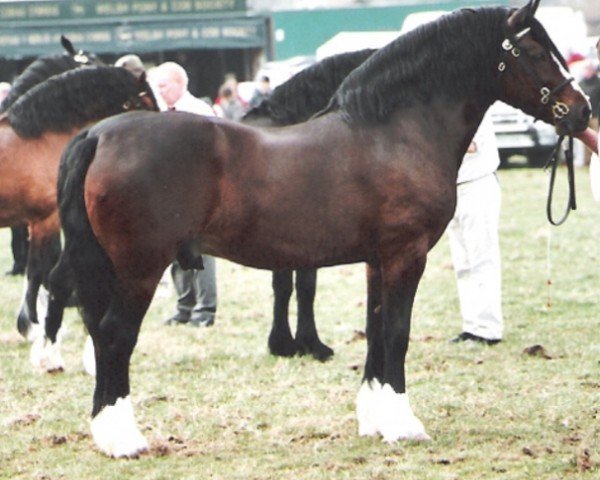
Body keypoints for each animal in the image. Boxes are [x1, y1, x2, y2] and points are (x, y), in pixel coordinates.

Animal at [0, 65, 157, 368]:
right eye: (146, 102)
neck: (39, 139)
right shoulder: (44, 221)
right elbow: (37, 272)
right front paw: (34, 329)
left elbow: (45, 273)